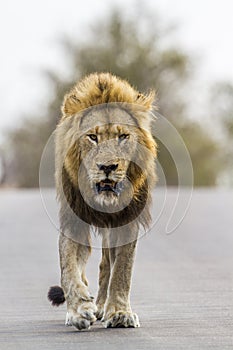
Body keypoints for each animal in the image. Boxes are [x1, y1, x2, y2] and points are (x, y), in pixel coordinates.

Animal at [47, 72, 157, 330]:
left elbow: (122, 269)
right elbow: (68, 267)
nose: (107, 167)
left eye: (123, 136)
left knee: (107, 263)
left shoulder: (127, 220)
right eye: (93, 137)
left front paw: (119, 313)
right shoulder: (73, 219)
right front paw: (78, 309)